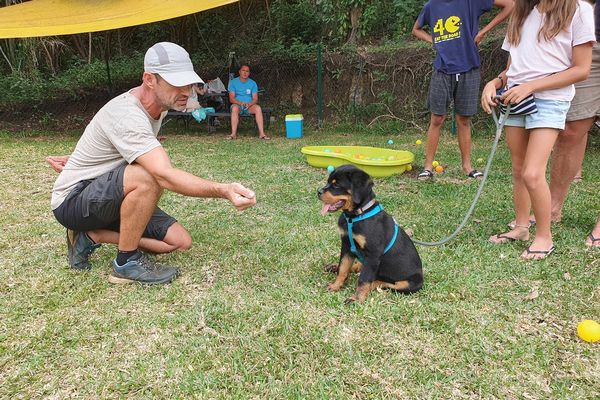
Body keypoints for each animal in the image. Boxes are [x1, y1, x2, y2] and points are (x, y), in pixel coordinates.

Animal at [318, 163, 422, 304]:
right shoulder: (346, 246)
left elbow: (364, 279)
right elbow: (343, 268)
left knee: (381, 282)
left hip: (408, 284)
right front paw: (335, 286)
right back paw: (334, 267)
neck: (354, 217)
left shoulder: (373, 254)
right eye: (328, 182)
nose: (318, 192)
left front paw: (356, 299)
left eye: (336, 185)